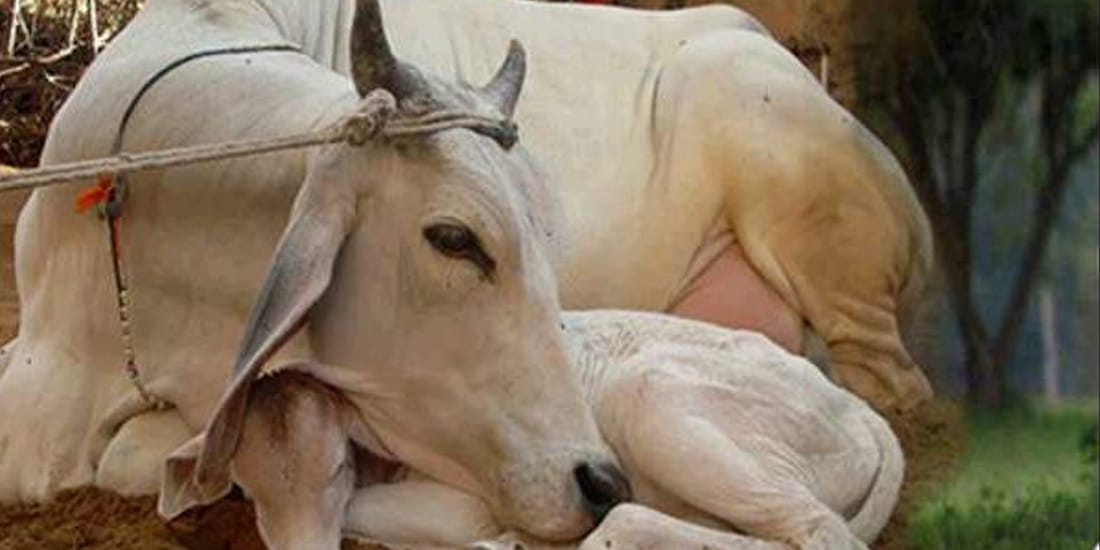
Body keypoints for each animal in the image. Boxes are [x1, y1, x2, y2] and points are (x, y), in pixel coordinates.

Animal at [159, 310, 903, 550]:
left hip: (656, 399)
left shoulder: (465, 500)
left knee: (821, 535)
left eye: (338, 465)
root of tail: (858, 409)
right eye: (248, 491)